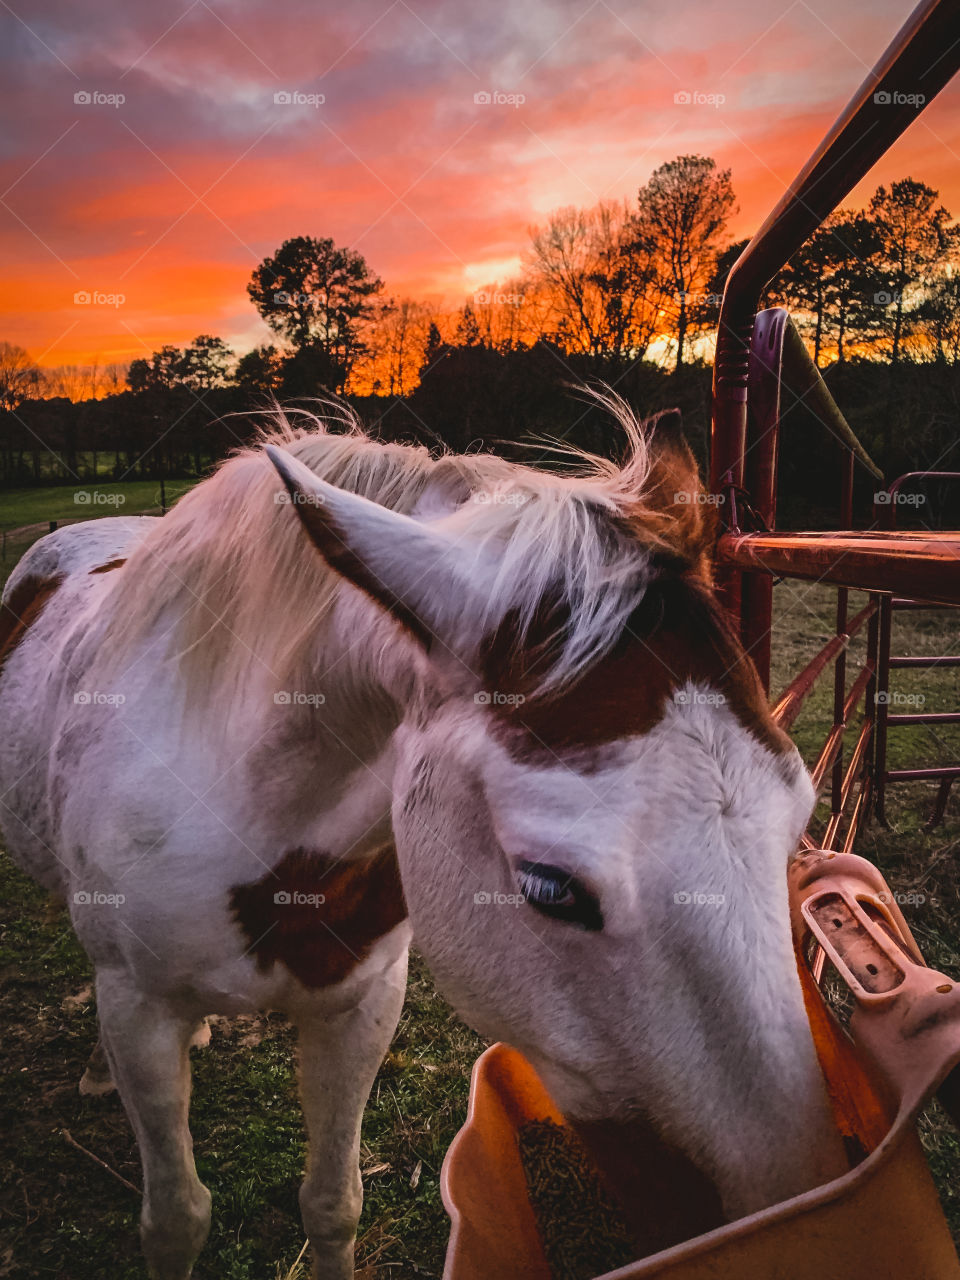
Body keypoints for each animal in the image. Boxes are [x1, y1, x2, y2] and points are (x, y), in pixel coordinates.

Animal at [0, 401, 839, 1280]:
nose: (793, 1228)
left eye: (795, 823)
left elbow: (332, 1204)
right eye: (549, 886)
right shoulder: (138, 1011)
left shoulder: (360, 1006)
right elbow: (175, 1220)